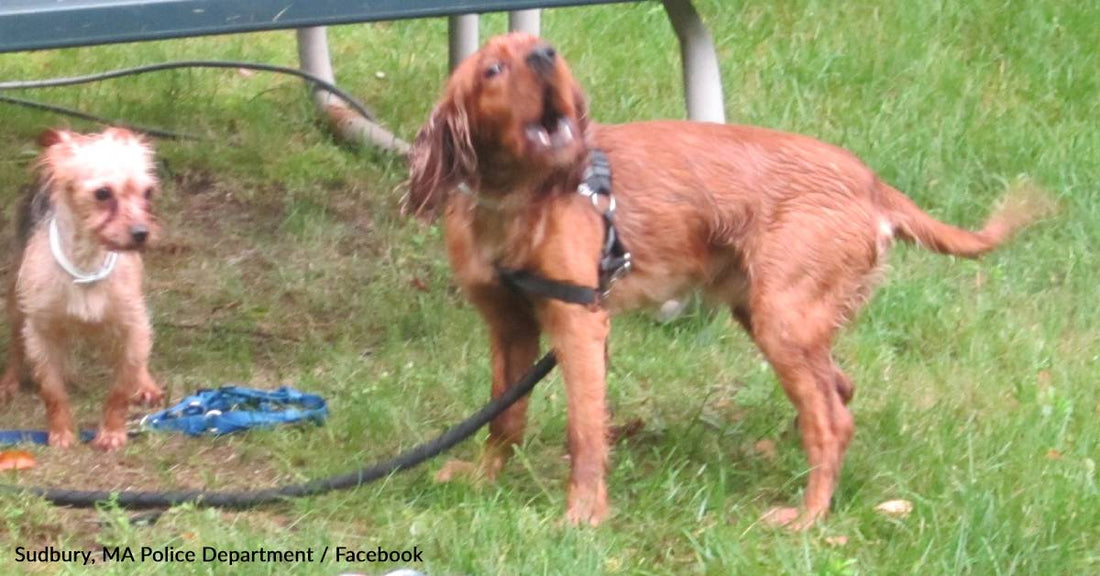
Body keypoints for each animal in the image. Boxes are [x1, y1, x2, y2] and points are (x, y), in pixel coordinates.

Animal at [0, 126, 162, 450]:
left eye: (148, 192)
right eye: (102, 193)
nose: (141, 233)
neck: (87, 263)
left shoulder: (132, 324)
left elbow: (120, 389)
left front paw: (112, 432)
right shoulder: (41, 332)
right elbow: (52, 391)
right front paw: (62, 432)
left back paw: (145, 384)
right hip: (15, 300)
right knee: (15, 342)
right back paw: (10, 379)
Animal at [409, 31, 1042, 525]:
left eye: (543, 50)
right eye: (491, 69)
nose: (546, 54)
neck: (515, 199)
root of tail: (872, 184)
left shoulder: (578, 320)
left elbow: (584, 432)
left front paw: (583, 517)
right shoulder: (508, 324)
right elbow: (504, 416)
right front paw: (485, 480)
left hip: (781, 319)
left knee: (833, 419)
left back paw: (808, 517)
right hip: (771, 313)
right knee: (838, 392)